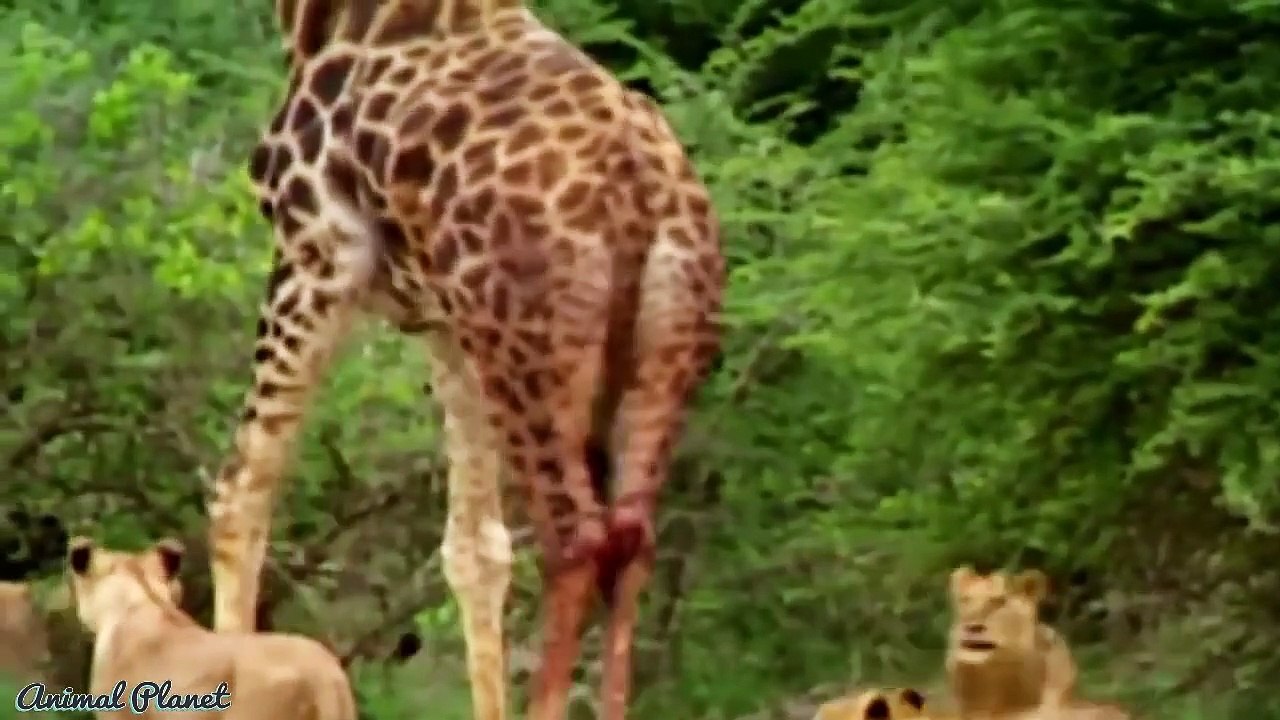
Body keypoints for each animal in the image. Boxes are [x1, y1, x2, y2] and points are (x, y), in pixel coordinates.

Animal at [204, 0, 724, 719]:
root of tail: (642, 194)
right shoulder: (444, 325)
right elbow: (476, 550)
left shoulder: (315, 252)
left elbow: (241, 494)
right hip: (654, 354)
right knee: (632, 539)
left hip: (528, 354)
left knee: (575, 542)